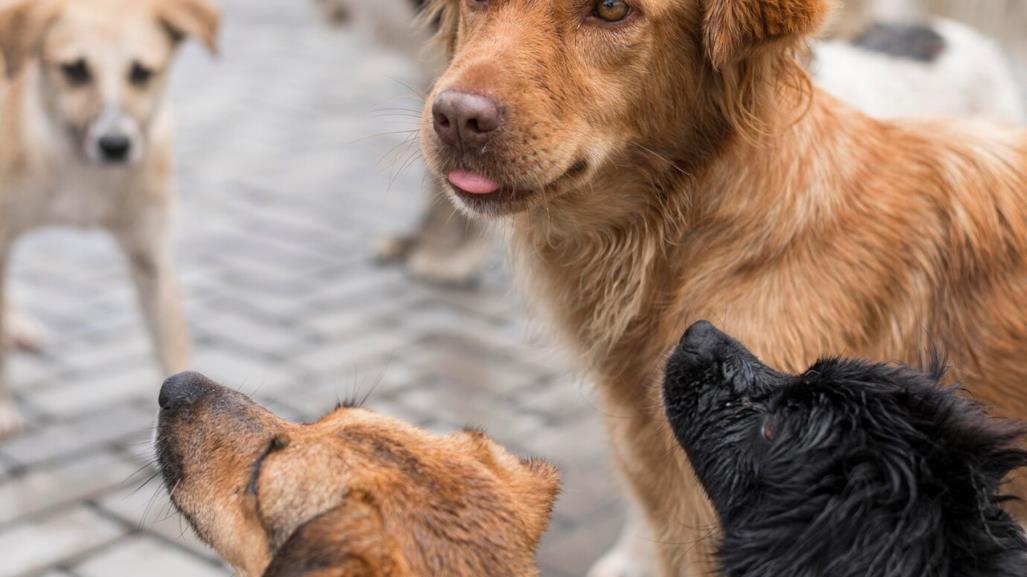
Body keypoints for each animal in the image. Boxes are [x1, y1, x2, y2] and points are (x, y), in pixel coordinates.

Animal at [1, 0, 218, 433]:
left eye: (142, 73)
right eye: (74, 69)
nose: (115, 144)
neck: (80, 167)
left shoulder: (151, 256)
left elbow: (172, 342)